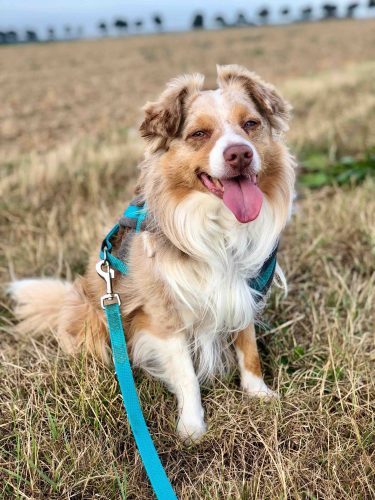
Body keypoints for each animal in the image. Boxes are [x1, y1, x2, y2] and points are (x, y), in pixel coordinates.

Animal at [9, 65, 296, 442]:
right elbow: (187, 375)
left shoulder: (242, 288)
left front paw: (258, 393)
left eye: (250, 124)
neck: (218, 229)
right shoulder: (163, 315)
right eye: (199, 133)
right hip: (97, 317)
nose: (240, 154)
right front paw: (192, 426)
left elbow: (248, 348)